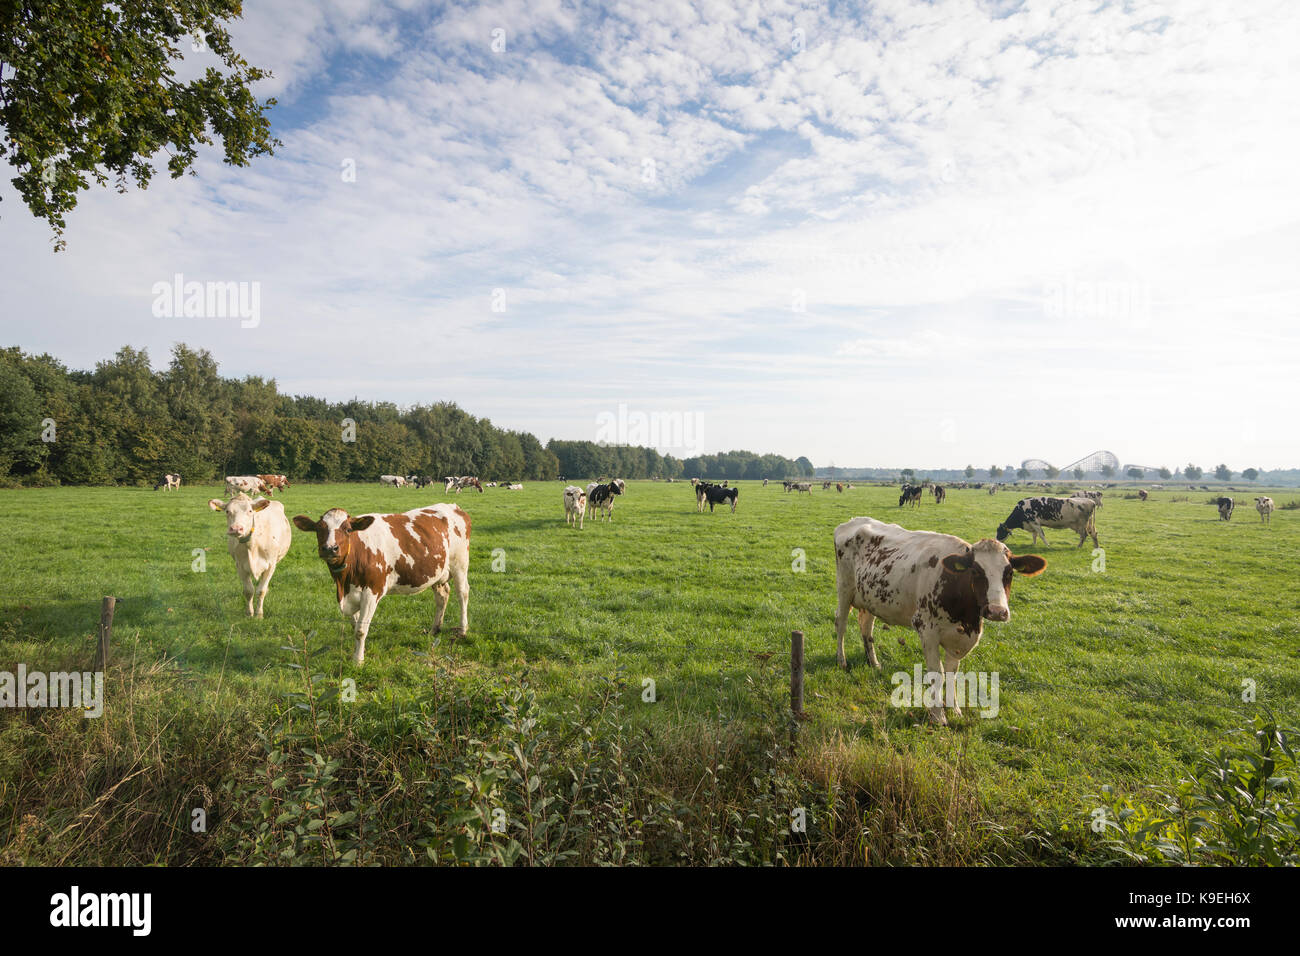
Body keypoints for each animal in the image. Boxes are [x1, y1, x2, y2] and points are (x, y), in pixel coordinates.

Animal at [293, 502, 473, 665]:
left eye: (348, 529)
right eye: (318, 529)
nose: (330, 548)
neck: (344, 582)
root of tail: (454, 507)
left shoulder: (372, 592)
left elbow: (360, 630)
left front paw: (358, 661)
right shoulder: (349, 595)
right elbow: (355, 626)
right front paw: (358, 653)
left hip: (460, 564)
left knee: (462, 594)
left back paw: (462, 630)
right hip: (436, 571)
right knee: (442, 596)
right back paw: (435, 629)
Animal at [832, 515, 1045, 723]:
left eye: (1009, 573)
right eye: (975, 571)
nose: (997, 611)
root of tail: (853, 520)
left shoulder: (960, 639)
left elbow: (951, 674)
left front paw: (955, 710)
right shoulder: (926, 629)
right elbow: (937, 673)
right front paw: (938, 716)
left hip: (870, 597)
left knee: (866, 627)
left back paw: (874, 663)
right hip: (844, 588)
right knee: (841, 624)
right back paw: (841, 661)